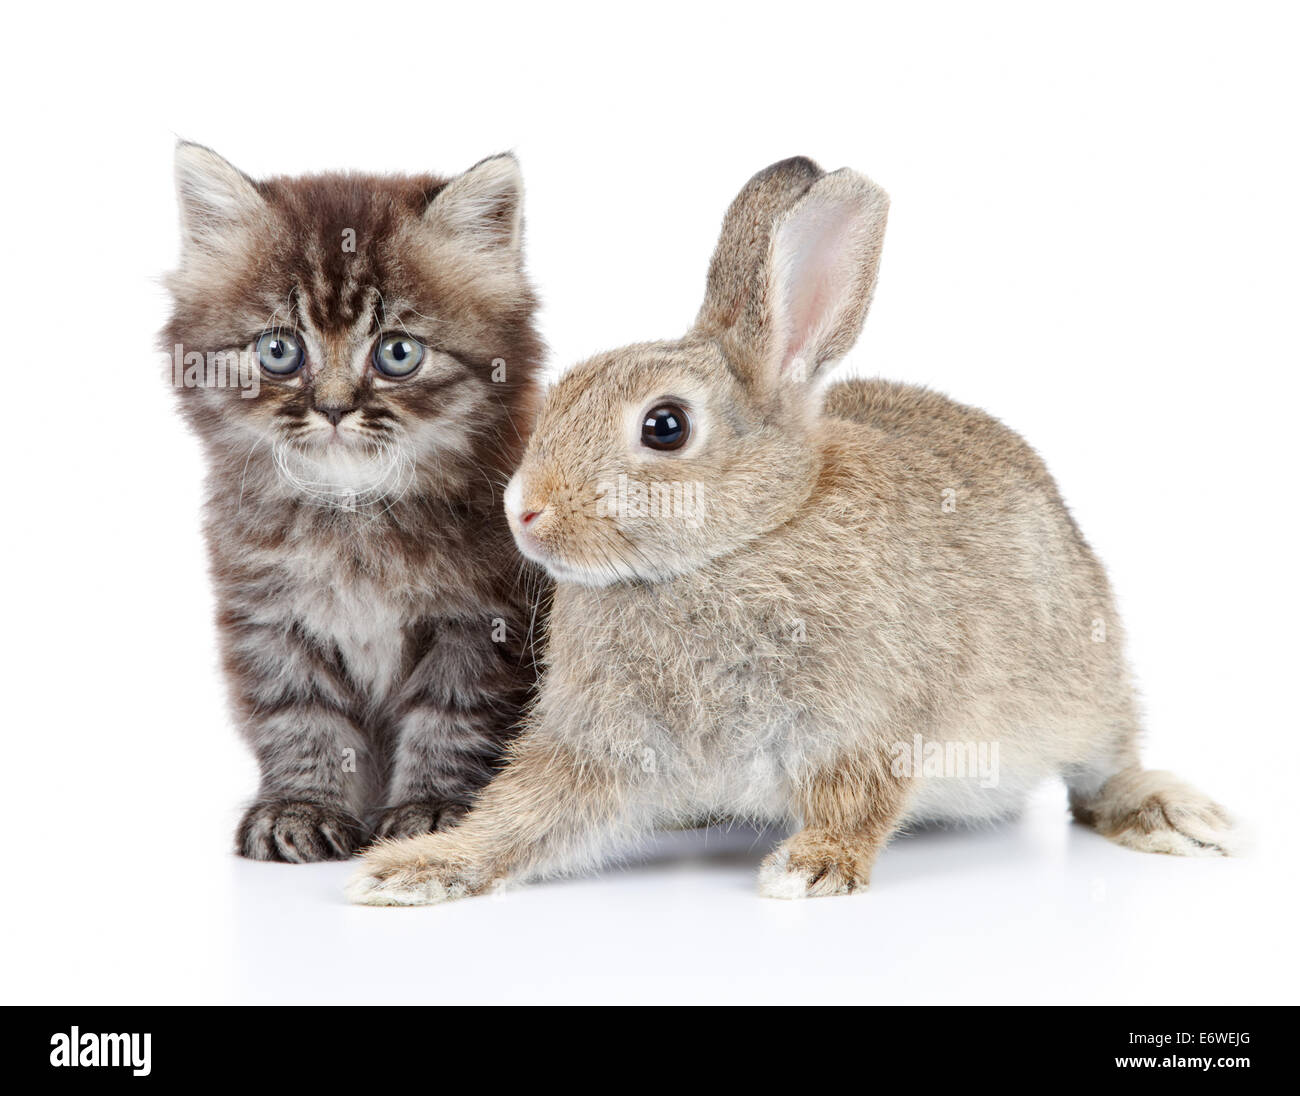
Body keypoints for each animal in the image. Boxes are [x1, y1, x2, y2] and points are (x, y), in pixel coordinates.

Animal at [163, 145, 548, 863]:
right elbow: (302, 716)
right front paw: (301, 807)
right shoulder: (270, 618)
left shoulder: (484, 622)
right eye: (279, 350)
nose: (335, 409)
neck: (352, 514)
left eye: (397, 353)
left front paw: (434, 812)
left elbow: (452, 716)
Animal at [348, 156, 1237, 910]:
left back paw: (1174, 815)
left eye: (665, 426)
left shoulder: (870, 723)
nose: (524, 511)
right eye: (560, 395)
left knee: (1101, 773)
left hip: (1087, 693)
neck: (739, 545)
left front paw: (811, 868)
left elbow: (859, 800)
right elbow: (523, 818)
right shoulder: (598, 747)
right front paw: (414, 869)